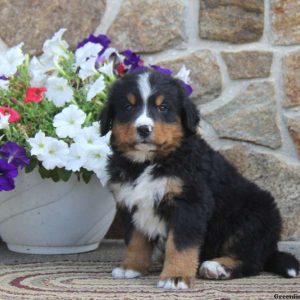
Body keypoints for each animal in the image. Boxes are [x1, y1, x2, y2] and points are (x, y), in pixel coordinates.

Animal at [99, 69, 298, 290]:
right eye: (128, 107)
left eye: (163, 107)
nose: (143, 129)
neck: (147, 163)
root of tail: (271, 245)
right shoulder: (131, 202)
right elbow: (135, 240)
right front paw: (131, 267)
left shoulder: (189, 203)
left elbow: (180, 245)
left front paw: (175, 277)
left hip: (250, 219)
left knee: (252, 261)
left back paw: (217, 267)